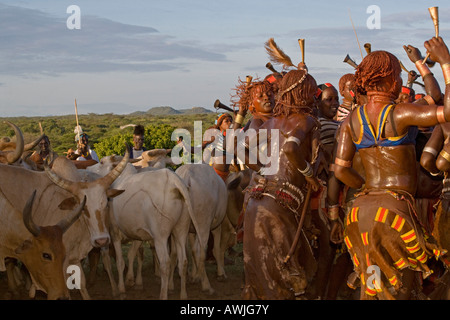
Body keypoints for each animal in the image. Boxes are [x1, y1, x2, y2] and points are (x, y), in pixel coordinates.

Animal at [88, 160, 200, 300]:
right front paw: (131, 280)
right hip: (181, 229)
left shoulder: (114, 232)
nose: (88, 170)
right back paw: (183, 294)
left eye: (102, 163)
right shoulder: (138, 233)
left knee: (165, 263)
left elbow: (120, 262)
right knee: (183, 261)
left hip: (160, 236)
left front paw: (121, 289)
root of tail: (174, 181)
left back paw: (163, 295)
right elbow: (131, 254)